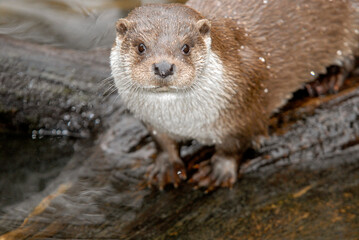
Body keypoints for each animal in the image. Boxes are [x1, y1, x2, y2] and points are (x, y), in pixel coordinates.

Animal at [110, 0, 359, 189]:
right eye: (141, 47)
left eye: (186, 47)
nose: (163, 67)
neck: (182, 119)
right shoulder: (153, 122)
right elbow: (162, 143)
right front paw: (166, 167)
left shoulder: (244, 106)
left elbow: (235, 144)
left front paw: (217, 170)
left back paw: (329, 78)